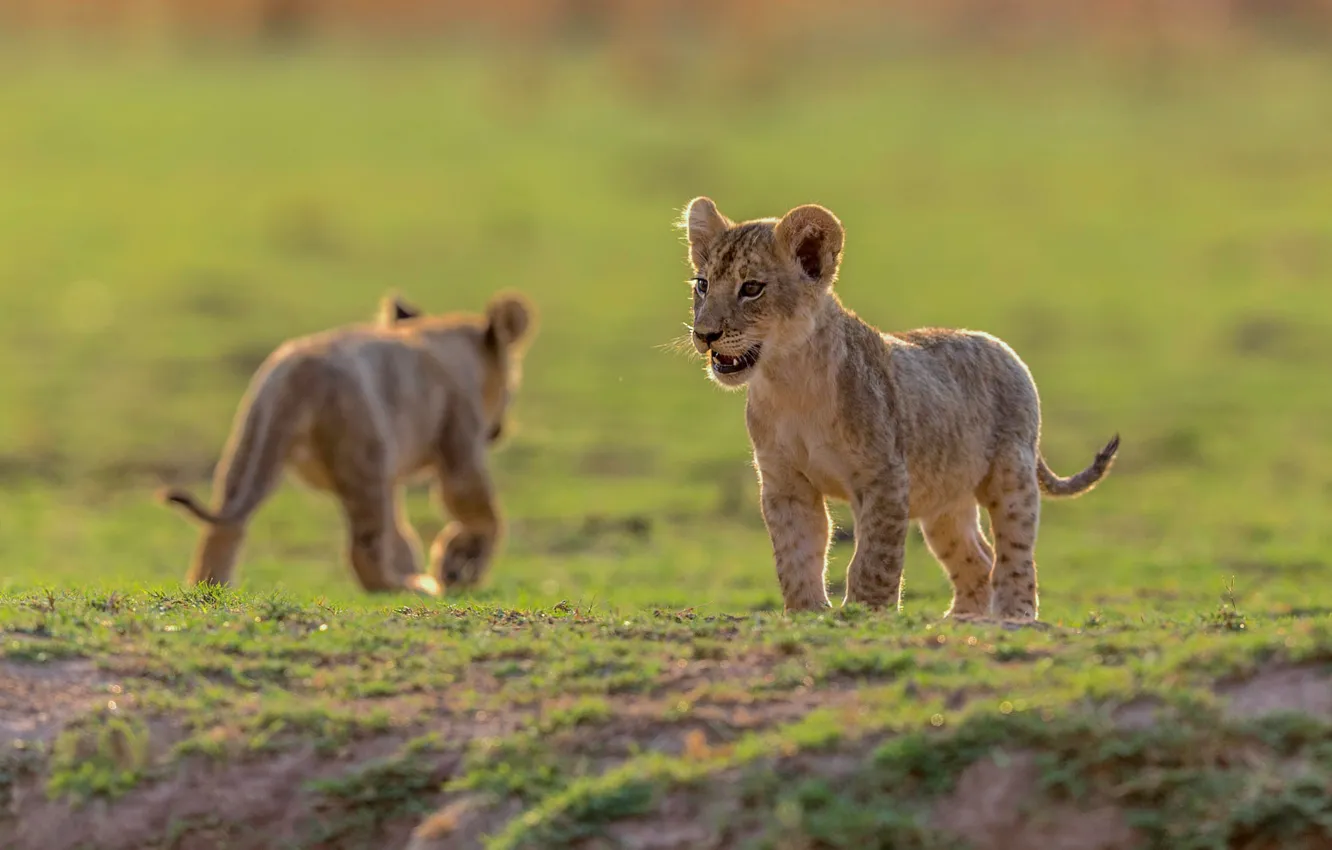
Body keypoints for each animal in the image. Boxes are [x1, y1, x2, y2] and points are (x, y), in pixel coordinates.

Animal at [160, 290, 536, 596]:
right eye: (513, 386)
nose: (498, 430)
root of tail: (301, 369)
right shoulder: (460, 438)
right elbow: (480, 511)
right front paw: (458, 567)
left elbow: (401, 532)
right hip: (365, 453)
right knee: (363, 546)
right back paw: (406, 587)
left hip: (250, 443)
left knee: (226, 525)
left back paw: (213, 587)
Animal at [679, 197, 1119, 621]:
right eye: (702, 284)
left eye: (752, 288)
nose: (705, 334)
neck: (789, 379)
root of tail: (1001, 346)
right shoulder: (785, 482)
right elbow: (796, 553)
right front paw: (806, 611)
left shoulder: (885, 476)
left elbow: (874, 558)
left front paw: (865, 611)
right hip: (945, 499)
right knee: (977, 558)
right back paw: (961, 619)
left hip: (1011, 473)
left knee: (1015, 551)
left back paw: (1014, 614)